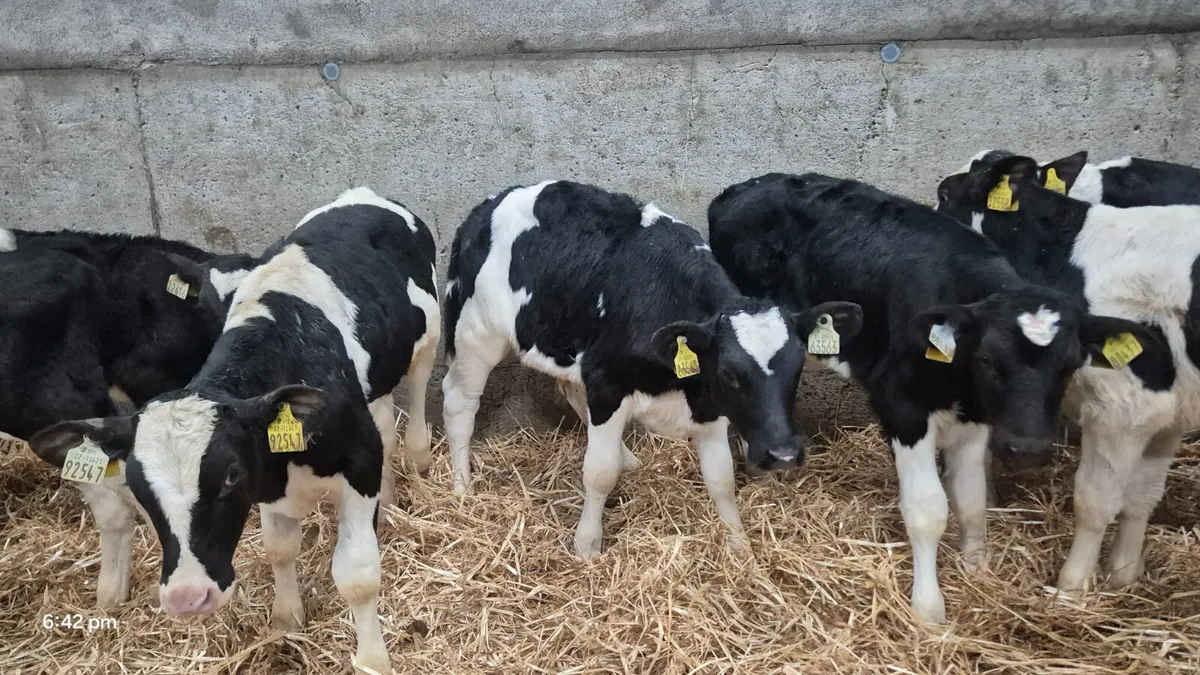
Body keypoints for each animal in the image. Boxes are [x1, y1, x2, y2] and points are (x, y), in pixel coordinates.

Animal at [27, 187, 439, 675]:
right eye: (137, 488)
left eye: (230, 476)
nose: (188, 597)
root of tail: (364, 194)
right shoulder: (270, 480)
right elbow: (280, 549)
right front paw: (286, 617)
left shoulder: (356, 460)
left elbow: (357, 576)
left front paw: (373, 659)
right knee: (385, 427)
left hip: (426, 339)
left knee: (415, 397)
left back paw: (417, 456)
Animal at [441, 180, 862, 560]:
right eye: (730, 373)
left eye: (797, 368)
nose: (784, 455)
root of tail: (488, 204)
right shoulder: (608, 385)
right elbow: (599, 473)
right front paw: (587, 547)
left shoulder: (707, 406)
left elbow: (721, 479)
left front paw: (739, 547)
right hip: (477, 331)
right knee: (459, 400)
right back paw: (462, 486)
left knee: (570, 389)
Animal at [706, 172, 1158, 624]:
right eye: (987, 359)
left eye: (1069, 365)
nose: (1028, 449)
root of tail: (746, 185)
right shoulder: (902, 407)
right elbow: (927, 510)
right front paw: (928, 608)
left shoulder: (976, 419)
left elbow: (971, 501)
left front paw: (977, 571)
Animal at [936, 154, 1199, 599]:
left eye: (943, 194)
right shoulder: (1166, 415)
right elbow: (1142, 497)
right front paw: (1124, 574)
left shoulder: (1122, 407)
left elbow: (1096, 502)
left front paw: (1072, 588)